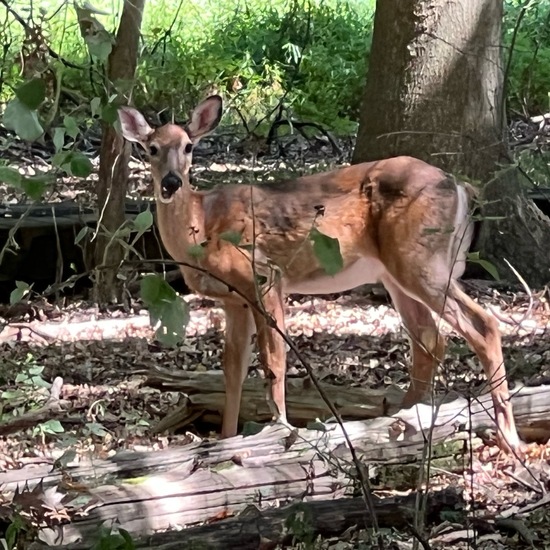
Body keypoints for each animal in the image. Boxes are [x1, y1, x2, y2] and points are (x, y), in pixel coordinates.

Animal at [118, 96, 524, 458]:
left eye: (189, 147)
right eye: (151, 148)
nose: (171, 182)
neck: (201, 228)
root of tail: (462, 187)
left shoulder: (265, 276)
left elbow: (273, 360)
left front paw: (279, 430)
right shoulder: (233, 300)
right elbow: (232, 369)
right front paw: (228, 441)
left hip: (421, 259)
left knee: (483, 324)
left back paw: (508, 437)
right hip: (397, 272)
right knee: (429, 340)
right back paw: (402, 421)